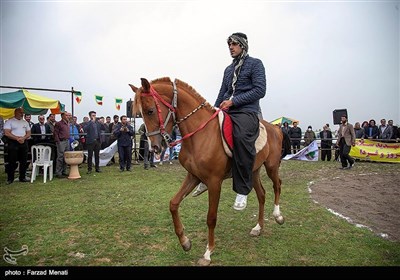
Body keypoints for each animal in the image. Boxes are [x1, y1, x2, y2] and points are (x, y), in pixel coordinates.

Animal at [129, 77, 284, 266]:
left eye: (150, 111)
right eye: (140, 114)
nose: (155, 148)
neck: (200, 135)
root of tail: (275, 128)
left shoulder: (214, 182)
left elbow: (211, 218)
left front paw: (208, 253)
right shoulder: (193, 176)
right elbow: (173, 204)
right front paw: (185, 242)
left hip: (271, 166)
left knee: (277, 185)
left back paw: (278, 216)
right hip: (253, 171)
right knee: (262, 195)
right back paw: (258, 227)